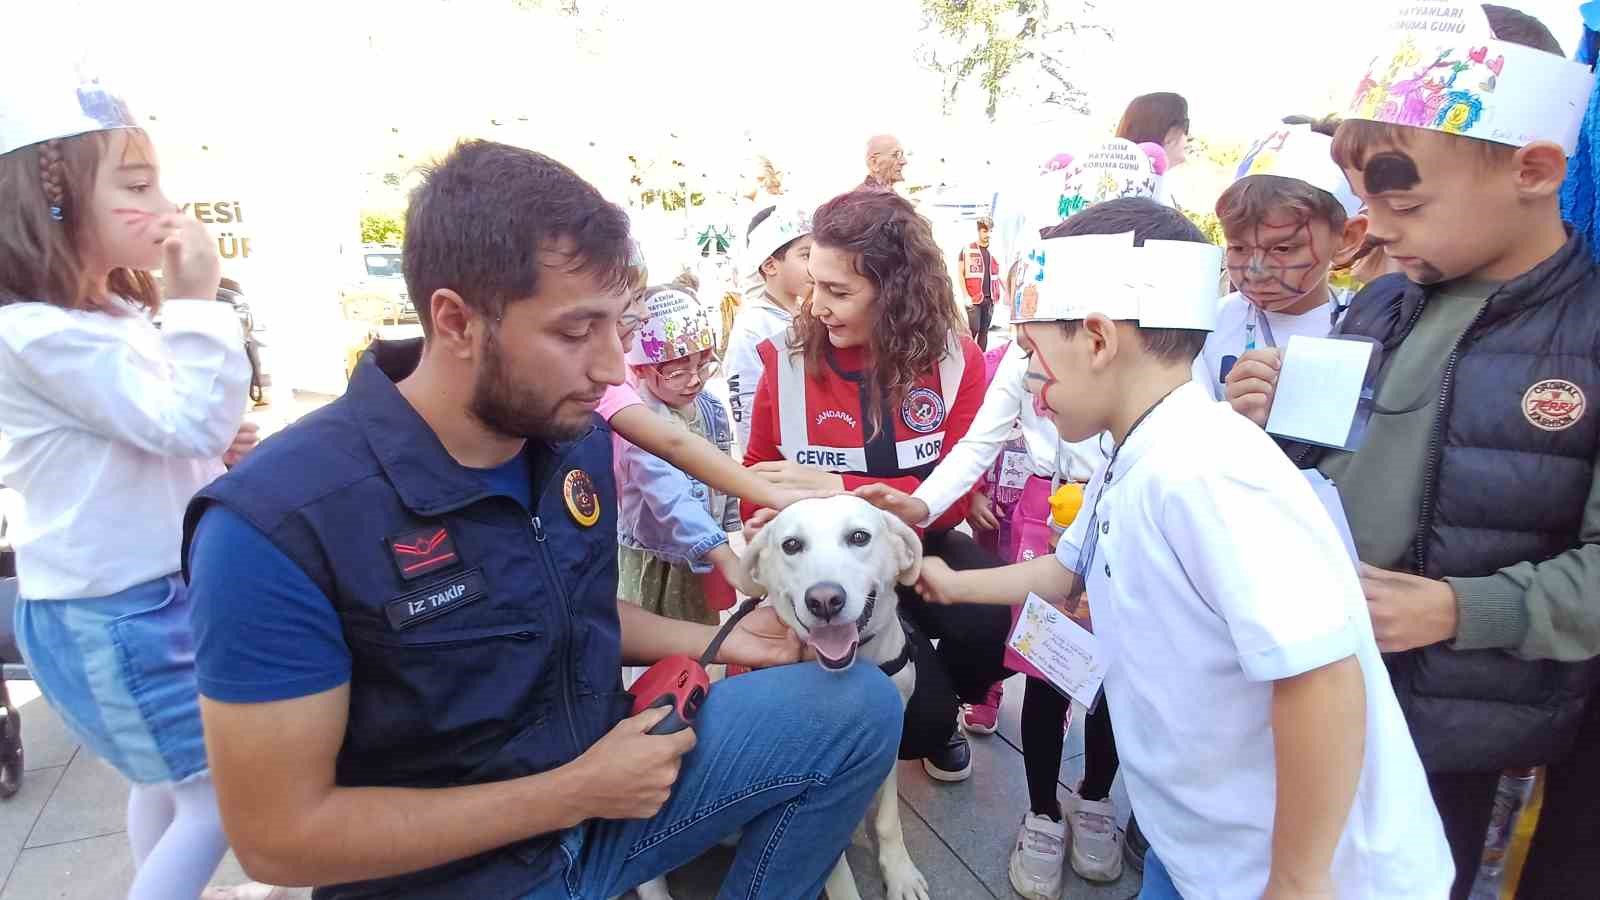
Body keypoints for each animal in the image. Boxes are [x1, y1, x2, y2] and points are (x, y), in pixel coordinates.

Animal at [745, 490, 934, 896]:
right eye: (791, 545)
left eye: (859, 537)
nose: (824, 600)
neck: (854, 664)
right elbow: (822, 857)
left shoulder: (891, 737)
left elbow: (888, 818)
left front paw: (899, 871)